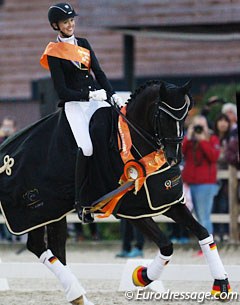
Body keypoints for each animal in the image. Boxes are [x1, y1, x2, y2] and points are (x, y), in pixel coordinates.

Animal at [0, 79, 231, 302]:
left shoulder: (167, 202)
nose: (174, 158)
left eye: (184, 116)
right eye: (162, 116)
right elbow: (166, 245)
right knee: (38, 246)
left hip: (54, 212)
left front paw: (221, 284)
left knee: (55, 249)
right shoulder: (131, 211)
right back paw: (77, 294)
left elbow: (203, 233)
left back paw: (79, 295)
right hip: (34, 214)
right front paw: (142, 276)